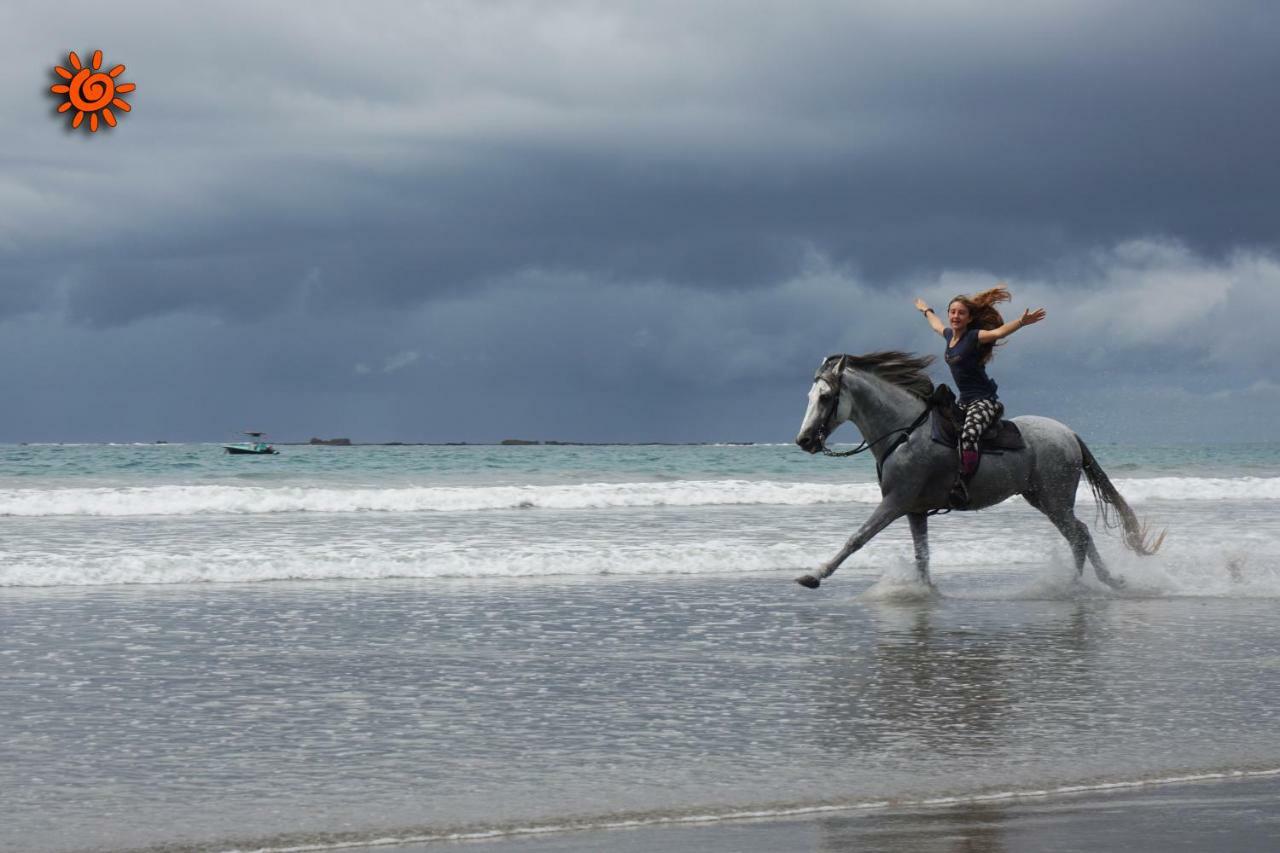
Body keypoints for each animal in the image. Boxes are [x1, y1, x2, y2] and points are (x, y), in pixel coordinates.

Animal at [788, 348, 1162, 589]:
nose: (804, 439)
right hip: (1042, 498)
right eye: (808, 396)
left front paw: (814, 575)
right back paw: (1099, 581)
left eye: (825, 397)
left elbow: (857, 538)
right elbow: (922, 555)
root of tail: (1068, 433)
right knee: (1079, 533)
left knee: (1079, 535)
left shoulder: (895, 503)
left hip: (1054, 499)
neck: (903, 432)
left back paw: (1078, 585)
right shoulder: (915, 510)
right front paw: (924, 592)